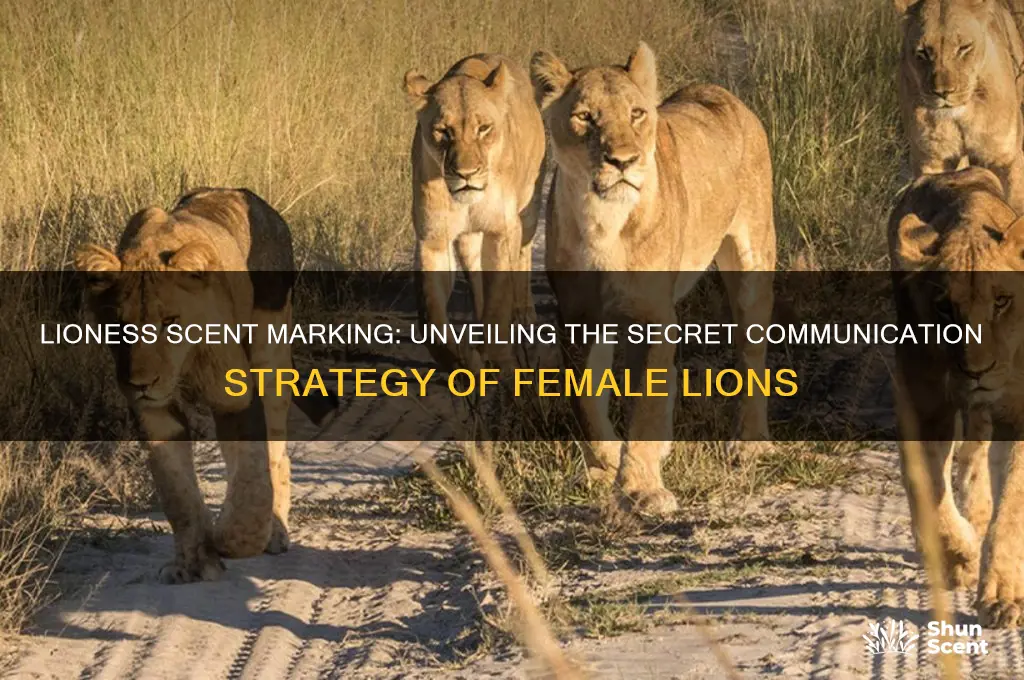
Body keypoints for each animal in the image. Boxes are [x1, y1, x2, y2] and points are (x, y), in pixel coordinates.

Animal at [74, 188, 336, 584]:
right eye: (118, 326)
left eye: (170, 321)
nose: (141, 383)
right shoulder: (155, 414)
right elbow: (178, 492)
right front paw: (194, 562)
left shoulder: (236, 399)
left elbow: (252, 484)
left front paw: (229, 540)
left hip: (270, 352)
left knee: (276, 453)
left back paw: (275, 531)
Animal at [403, 54, 546, 369]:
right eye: (443, 132)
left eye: (483, 129)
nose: (465, 174)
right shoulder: (433, 239)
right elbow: (430, 313)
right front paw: (459, 361)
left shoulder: (503, 230)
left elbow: (499, 299)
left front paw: (498, 357)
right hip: (468, 241)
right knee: (477, 274)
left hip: (528, 212)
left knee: (522, 261)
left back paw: (525, 318)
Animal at [530, 43, 776, 516]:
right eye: (585, 117)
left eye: (637, 113)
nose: (623, 160)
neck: (602, 219)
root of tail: (718, 91)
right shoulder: (579, 318)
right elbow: (585, 402)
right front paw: (604, 463)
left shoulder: (651, 317)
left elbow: (644, 407)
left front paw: (641, 488)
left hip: (752, 261)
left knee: (751, 351)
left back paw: (750, 444)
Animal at [890, 165, 1024, 627]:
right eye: (945, 308)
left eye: (1002, 301)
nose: (976, 372)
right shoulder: (925, 404)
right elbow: (929, 488)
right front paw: (960, 557)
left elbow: (1010, 507)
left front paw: (1002, 596)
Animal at [894, 0, 1024, 212]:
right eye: (922, 52)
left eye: (964, 48)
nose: (943, 92)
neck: (962, 117)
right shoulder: (932, 160)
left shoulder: (1007, 158)